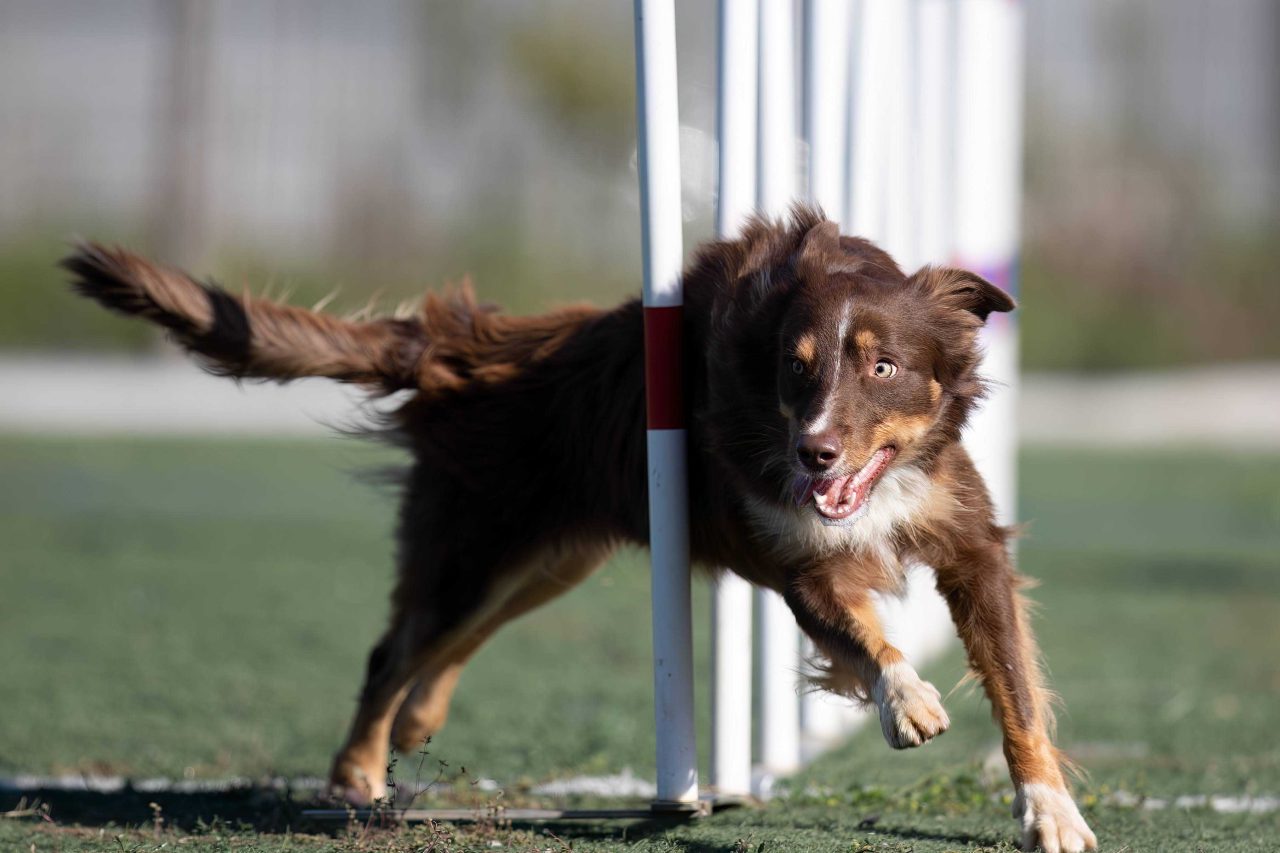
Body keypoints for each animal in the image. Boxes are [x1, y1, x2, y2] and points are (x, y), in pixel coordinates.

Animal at [64, 207, 1095, 850]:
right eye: (794, 368)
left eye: (883, 367)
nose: (814, 454)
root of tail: (462, 344)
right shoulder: (796, 557)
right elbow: (866, 636)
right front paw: (908, 700)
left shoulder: (970, 546)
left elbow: (1017, 692)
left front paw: (1050, 811)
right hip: (478, 548)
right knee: (393, 647)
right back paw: (356, 775)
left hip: (554, 557)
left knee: (445, 644)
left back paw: (417, 721)